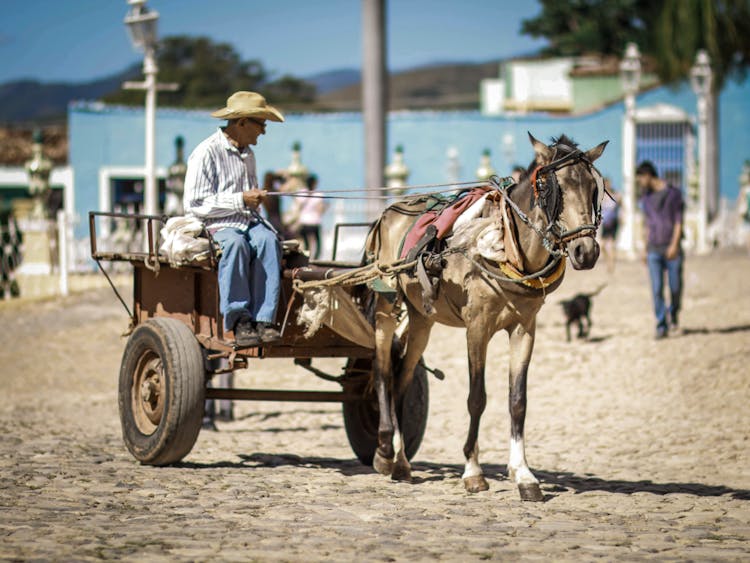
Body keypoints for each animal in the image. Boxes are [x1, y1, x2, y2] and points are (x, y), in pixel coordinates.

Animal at [366, 133, 612, 502]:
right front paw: (473, 471)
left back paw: (401, 463)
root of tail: (391, 210)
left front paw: (524, 475)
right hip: (386, 307)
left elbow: (518, 400)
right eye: (550, 188)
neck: (507, 248)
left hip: (422, 318)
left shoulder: (525, 329)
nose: (587, 252)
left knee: (403, 378)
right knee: (383, 371)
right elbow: (477, 398)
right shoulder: (476, 327)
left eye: (594, 188)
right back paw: (384, 452)